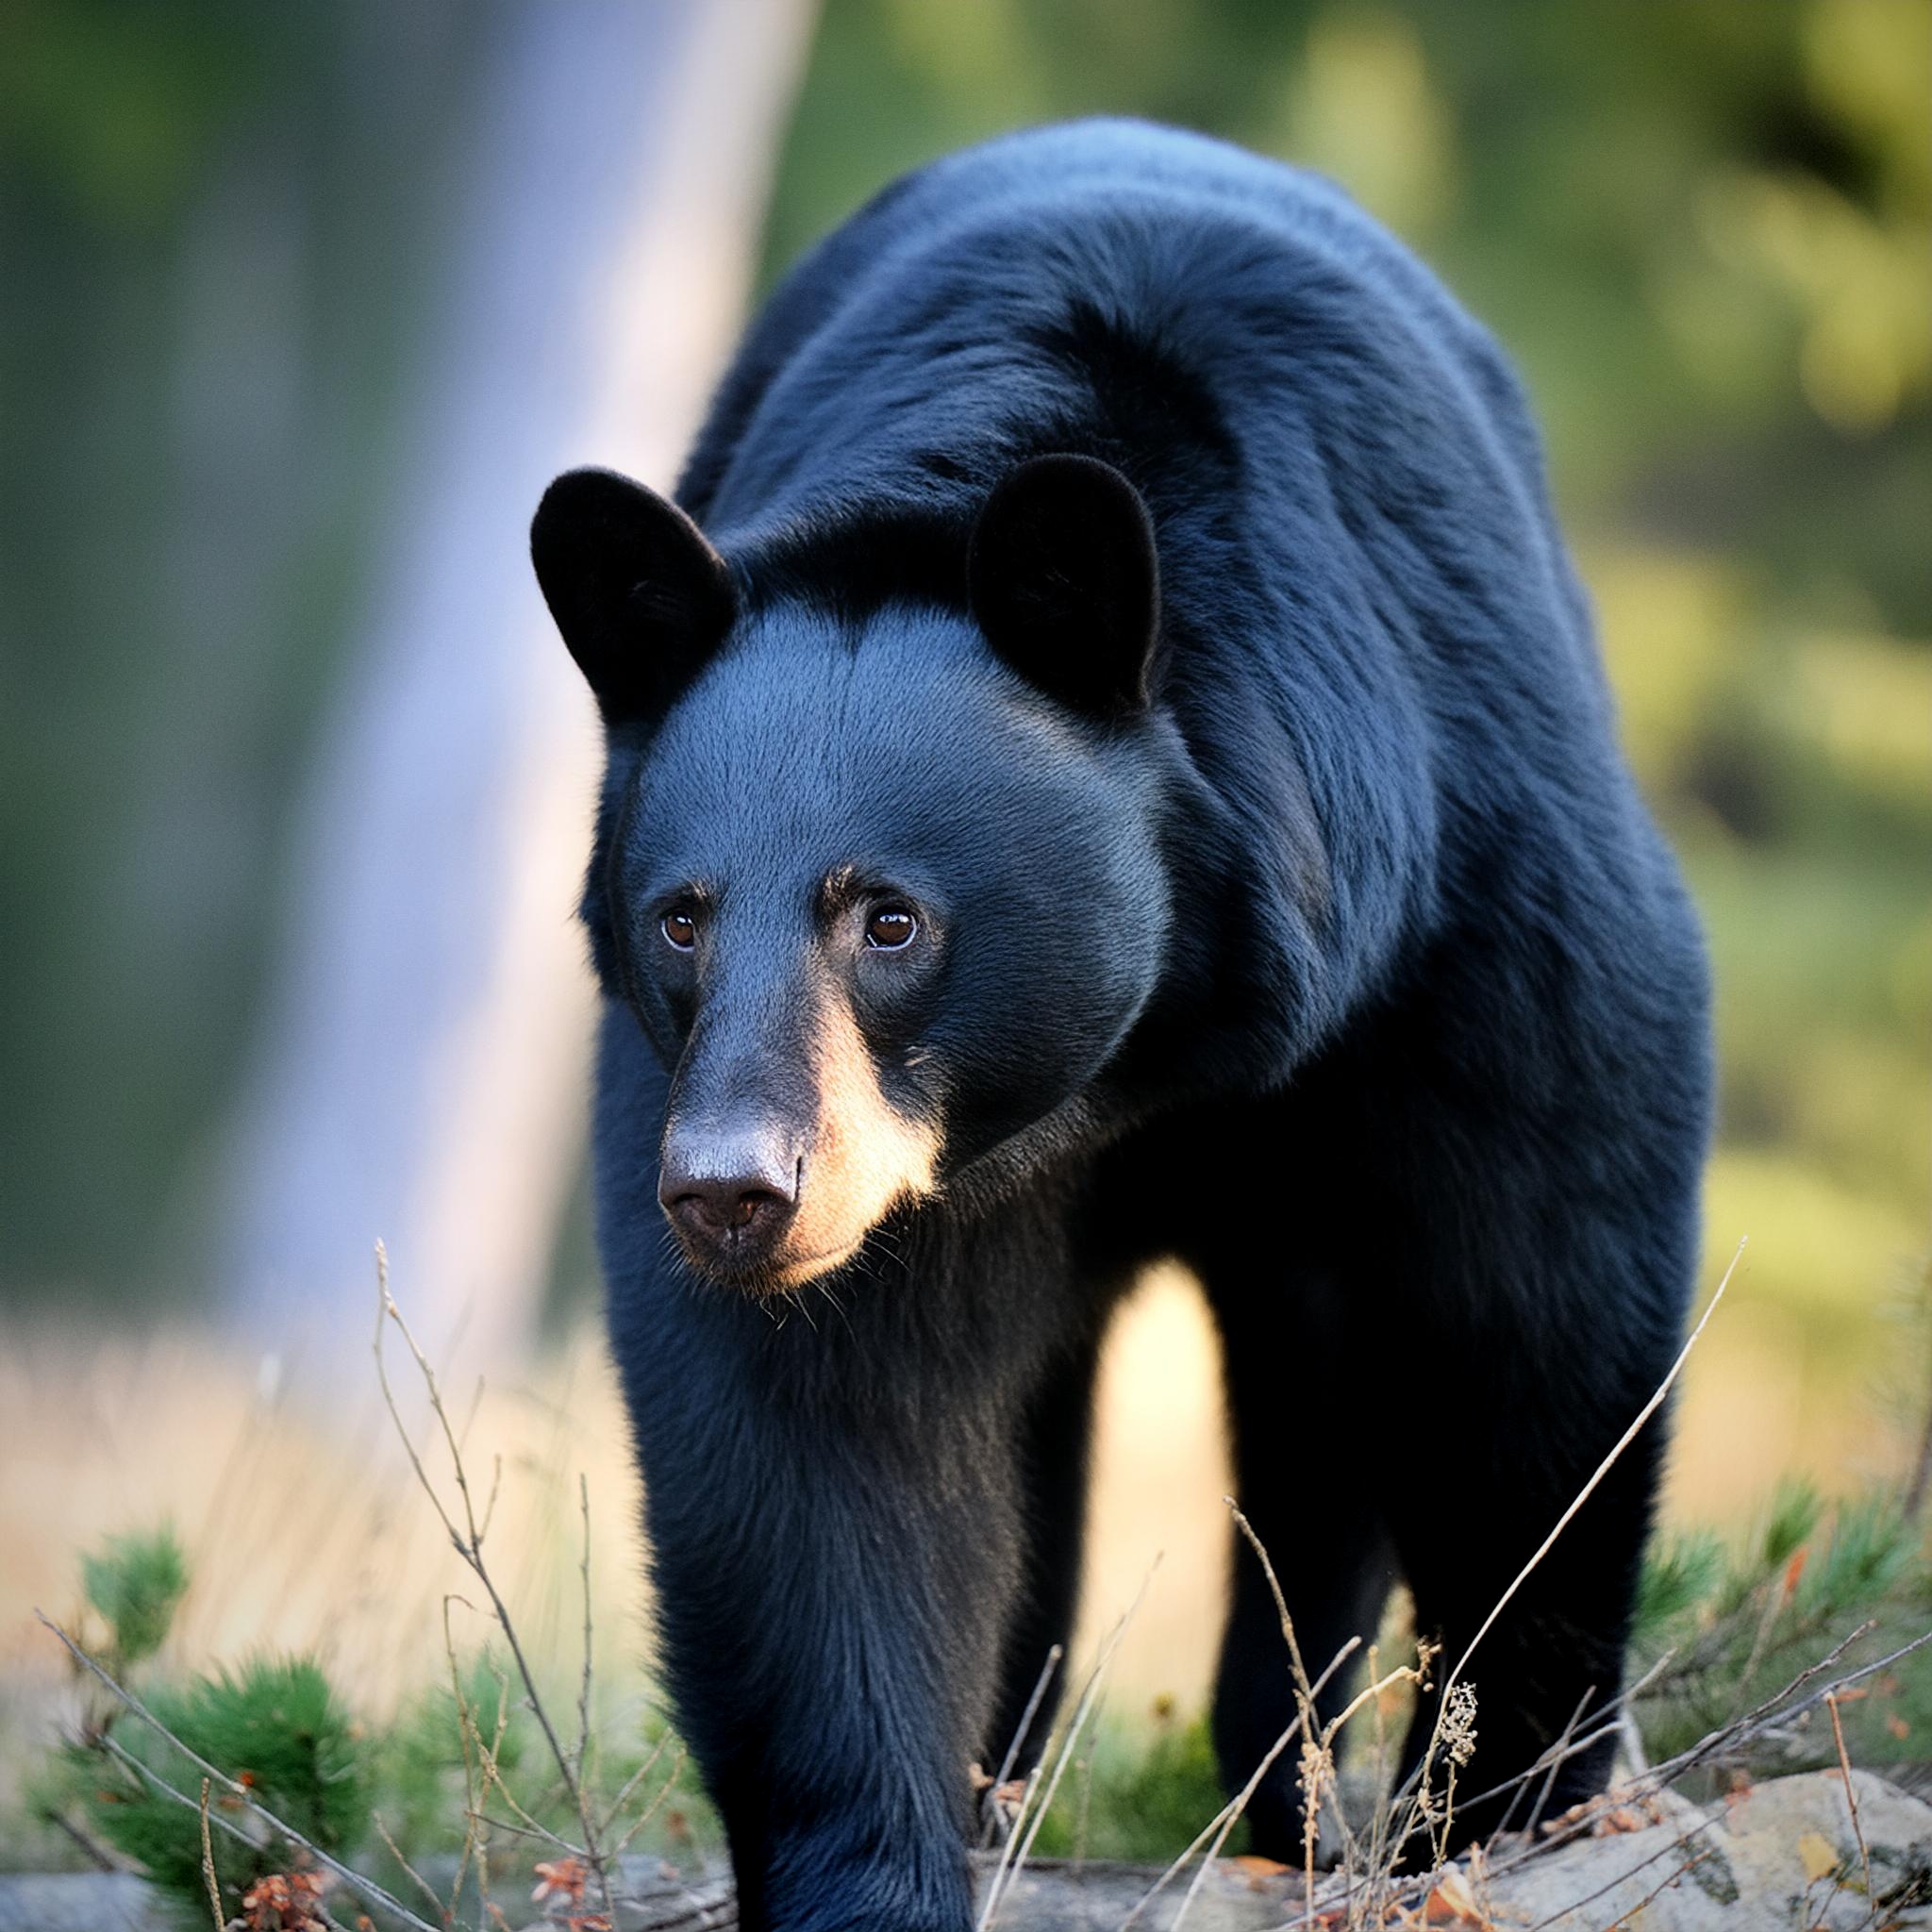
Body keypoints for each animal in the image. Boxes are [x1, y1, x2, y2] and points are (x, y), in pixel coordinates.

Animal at [529, 121, 1707, 1932]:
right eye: (680, 916)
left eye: (891, 917)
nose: (732, 1190)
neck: (1155, 1050)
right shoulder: (756, 1121)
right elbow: (822, 1451)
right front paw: (880, 1868)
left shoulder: (1467, 896)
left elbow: (1533, 1299)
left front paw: (1499, 1812)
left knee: (1317, 1423)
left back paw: (1282, 1792)